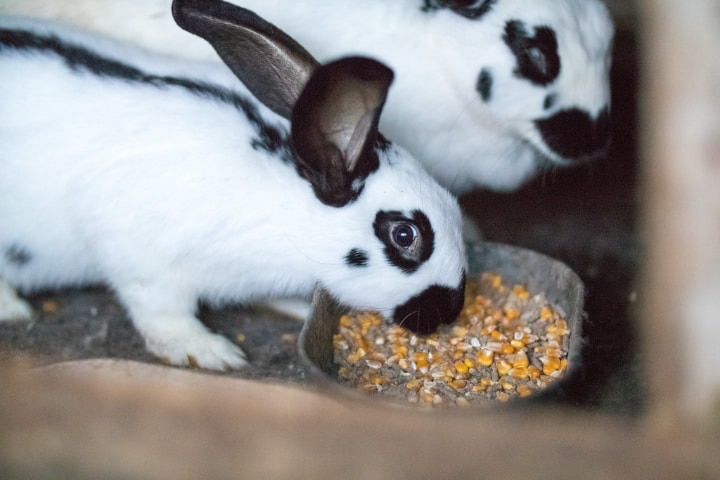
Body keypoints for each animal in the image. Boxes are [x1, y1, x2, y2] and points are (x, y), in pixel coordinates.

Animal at [0, 0, 466, 372]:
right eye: (404, 234)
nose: (449, 311)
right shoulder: (137, 254)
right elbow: (161, 311)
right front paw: (208, 352)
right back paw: (12, 310)